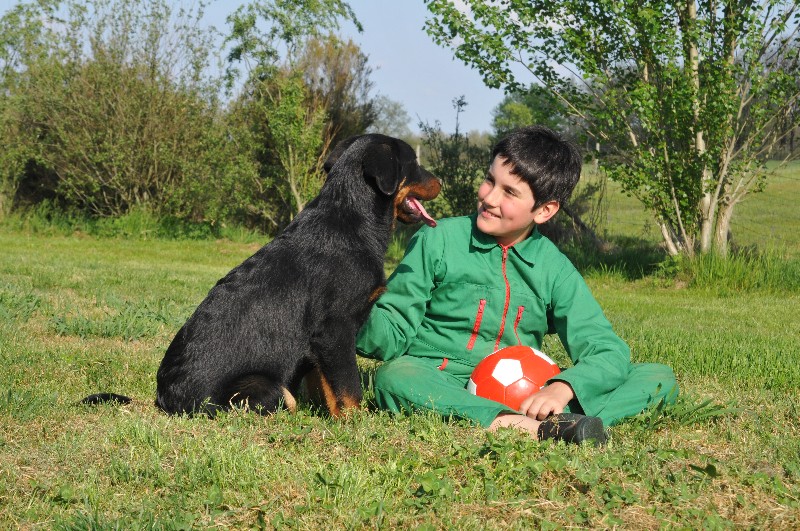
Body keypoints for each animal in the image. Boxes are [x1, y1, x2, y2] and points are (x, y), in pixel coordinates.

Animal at [149, 134, 440, 417]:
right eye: (414, 163)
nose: (440, 182)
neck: (351, 217)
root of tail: (168, 400)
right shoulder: (335, 330)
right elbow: (348, 389)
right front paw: (357, 423)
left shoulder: (318, 347)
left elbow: (325, 385)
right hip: (268, 388)